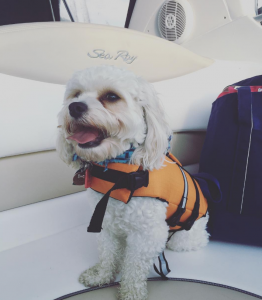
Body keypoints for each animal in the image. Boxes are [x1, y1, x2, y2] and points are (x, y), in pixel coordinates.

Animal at [56, 65, 209, 300]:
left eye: (111, 97)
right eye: (76, 95)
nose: (75, 107)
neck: (116, 171)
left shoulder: (147, 234)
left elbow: (134, 267)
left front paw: (131, 291)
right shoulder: (105, 222)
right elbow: (108, 254)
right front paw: (101, 276)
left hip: (182, 238)